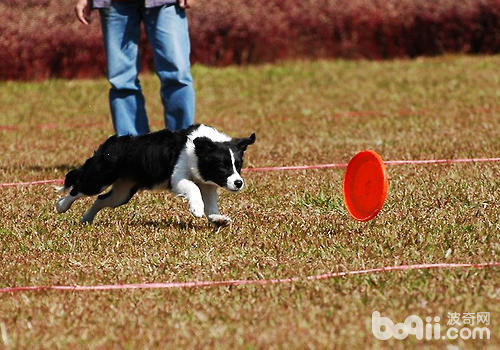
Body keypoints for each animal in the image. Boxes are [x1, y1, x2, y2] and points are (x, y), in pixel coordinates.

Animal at [56, 124, 256, 226]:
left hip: (123, 192)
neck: (199, 150)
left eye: (238, 166)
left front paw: (218, 219)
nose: (238, 183)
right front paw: (196, 209)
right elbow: (193, 189)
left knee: (101, 199)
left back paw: (87, 219)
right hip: (100, 177)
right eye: (223, 167)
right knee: (78, 188)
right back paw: (61, 206)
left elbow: (211, 205)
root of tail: (106, 146)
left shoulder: (207, 184)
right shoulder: (178, 178)